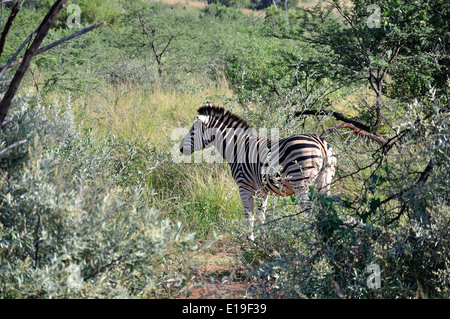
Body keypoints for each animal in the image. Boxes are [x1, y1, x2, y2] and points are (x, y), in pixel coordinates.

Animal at [178, 104, 336, 241]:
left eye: (193, 131)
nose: (180, 149)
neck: (238, 149)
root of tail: (320, 141)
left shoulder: (244, 186)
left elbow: (249, 215)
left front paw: (250, 240)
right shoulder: (262, 189)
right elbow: (261, 216)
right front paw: (264, 239)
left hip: (300, 183)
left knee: (310, 211)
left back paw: (313, 240)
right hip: (324, 182)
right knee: (325, 209)